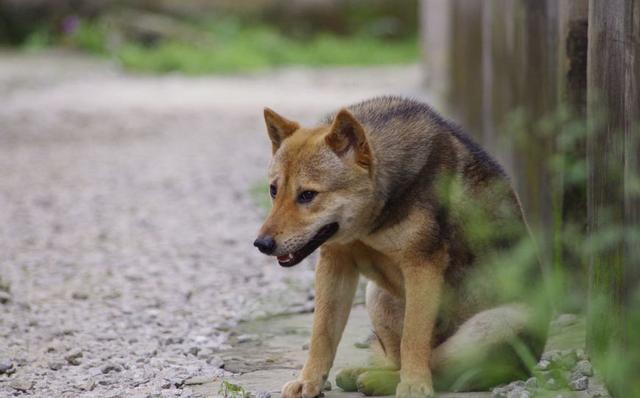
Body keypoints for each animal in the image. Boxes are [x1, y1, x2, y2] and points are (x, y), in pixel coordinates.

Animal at [252, 96, 548, 398]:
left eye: (307, 195)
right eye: (274, 190)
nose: (261, 244)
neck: (371, 222)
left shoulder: (422, 267)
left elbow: (413, 338)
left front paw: (415, 384)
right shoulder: (335, 264)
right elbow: (321, 334)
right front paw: (309, 381)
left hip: (497, 323)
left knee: (440, 367)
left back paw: (383, 380)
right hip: (377, 295)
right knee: (400, 358)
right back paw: (365, 374)